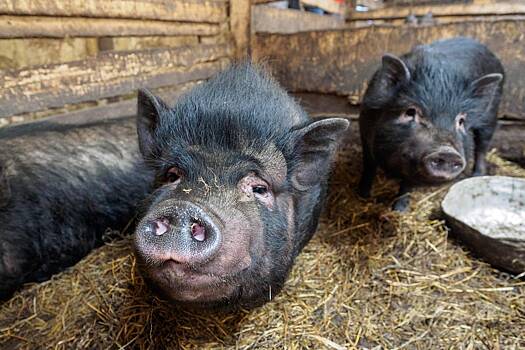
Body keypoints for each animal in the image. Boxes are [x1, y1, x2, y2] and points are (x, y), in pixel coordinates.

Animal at [356, 37, 504, 211]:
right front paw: (362, 195)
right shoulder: (364, 132)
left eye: (461, 121)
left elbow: (408, 184)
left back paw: (477, 175)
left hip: (491, 116)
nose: (447, 152)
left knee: (482, 146)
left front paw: (399, 211)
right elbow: (368, 167)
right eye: (410, 112)